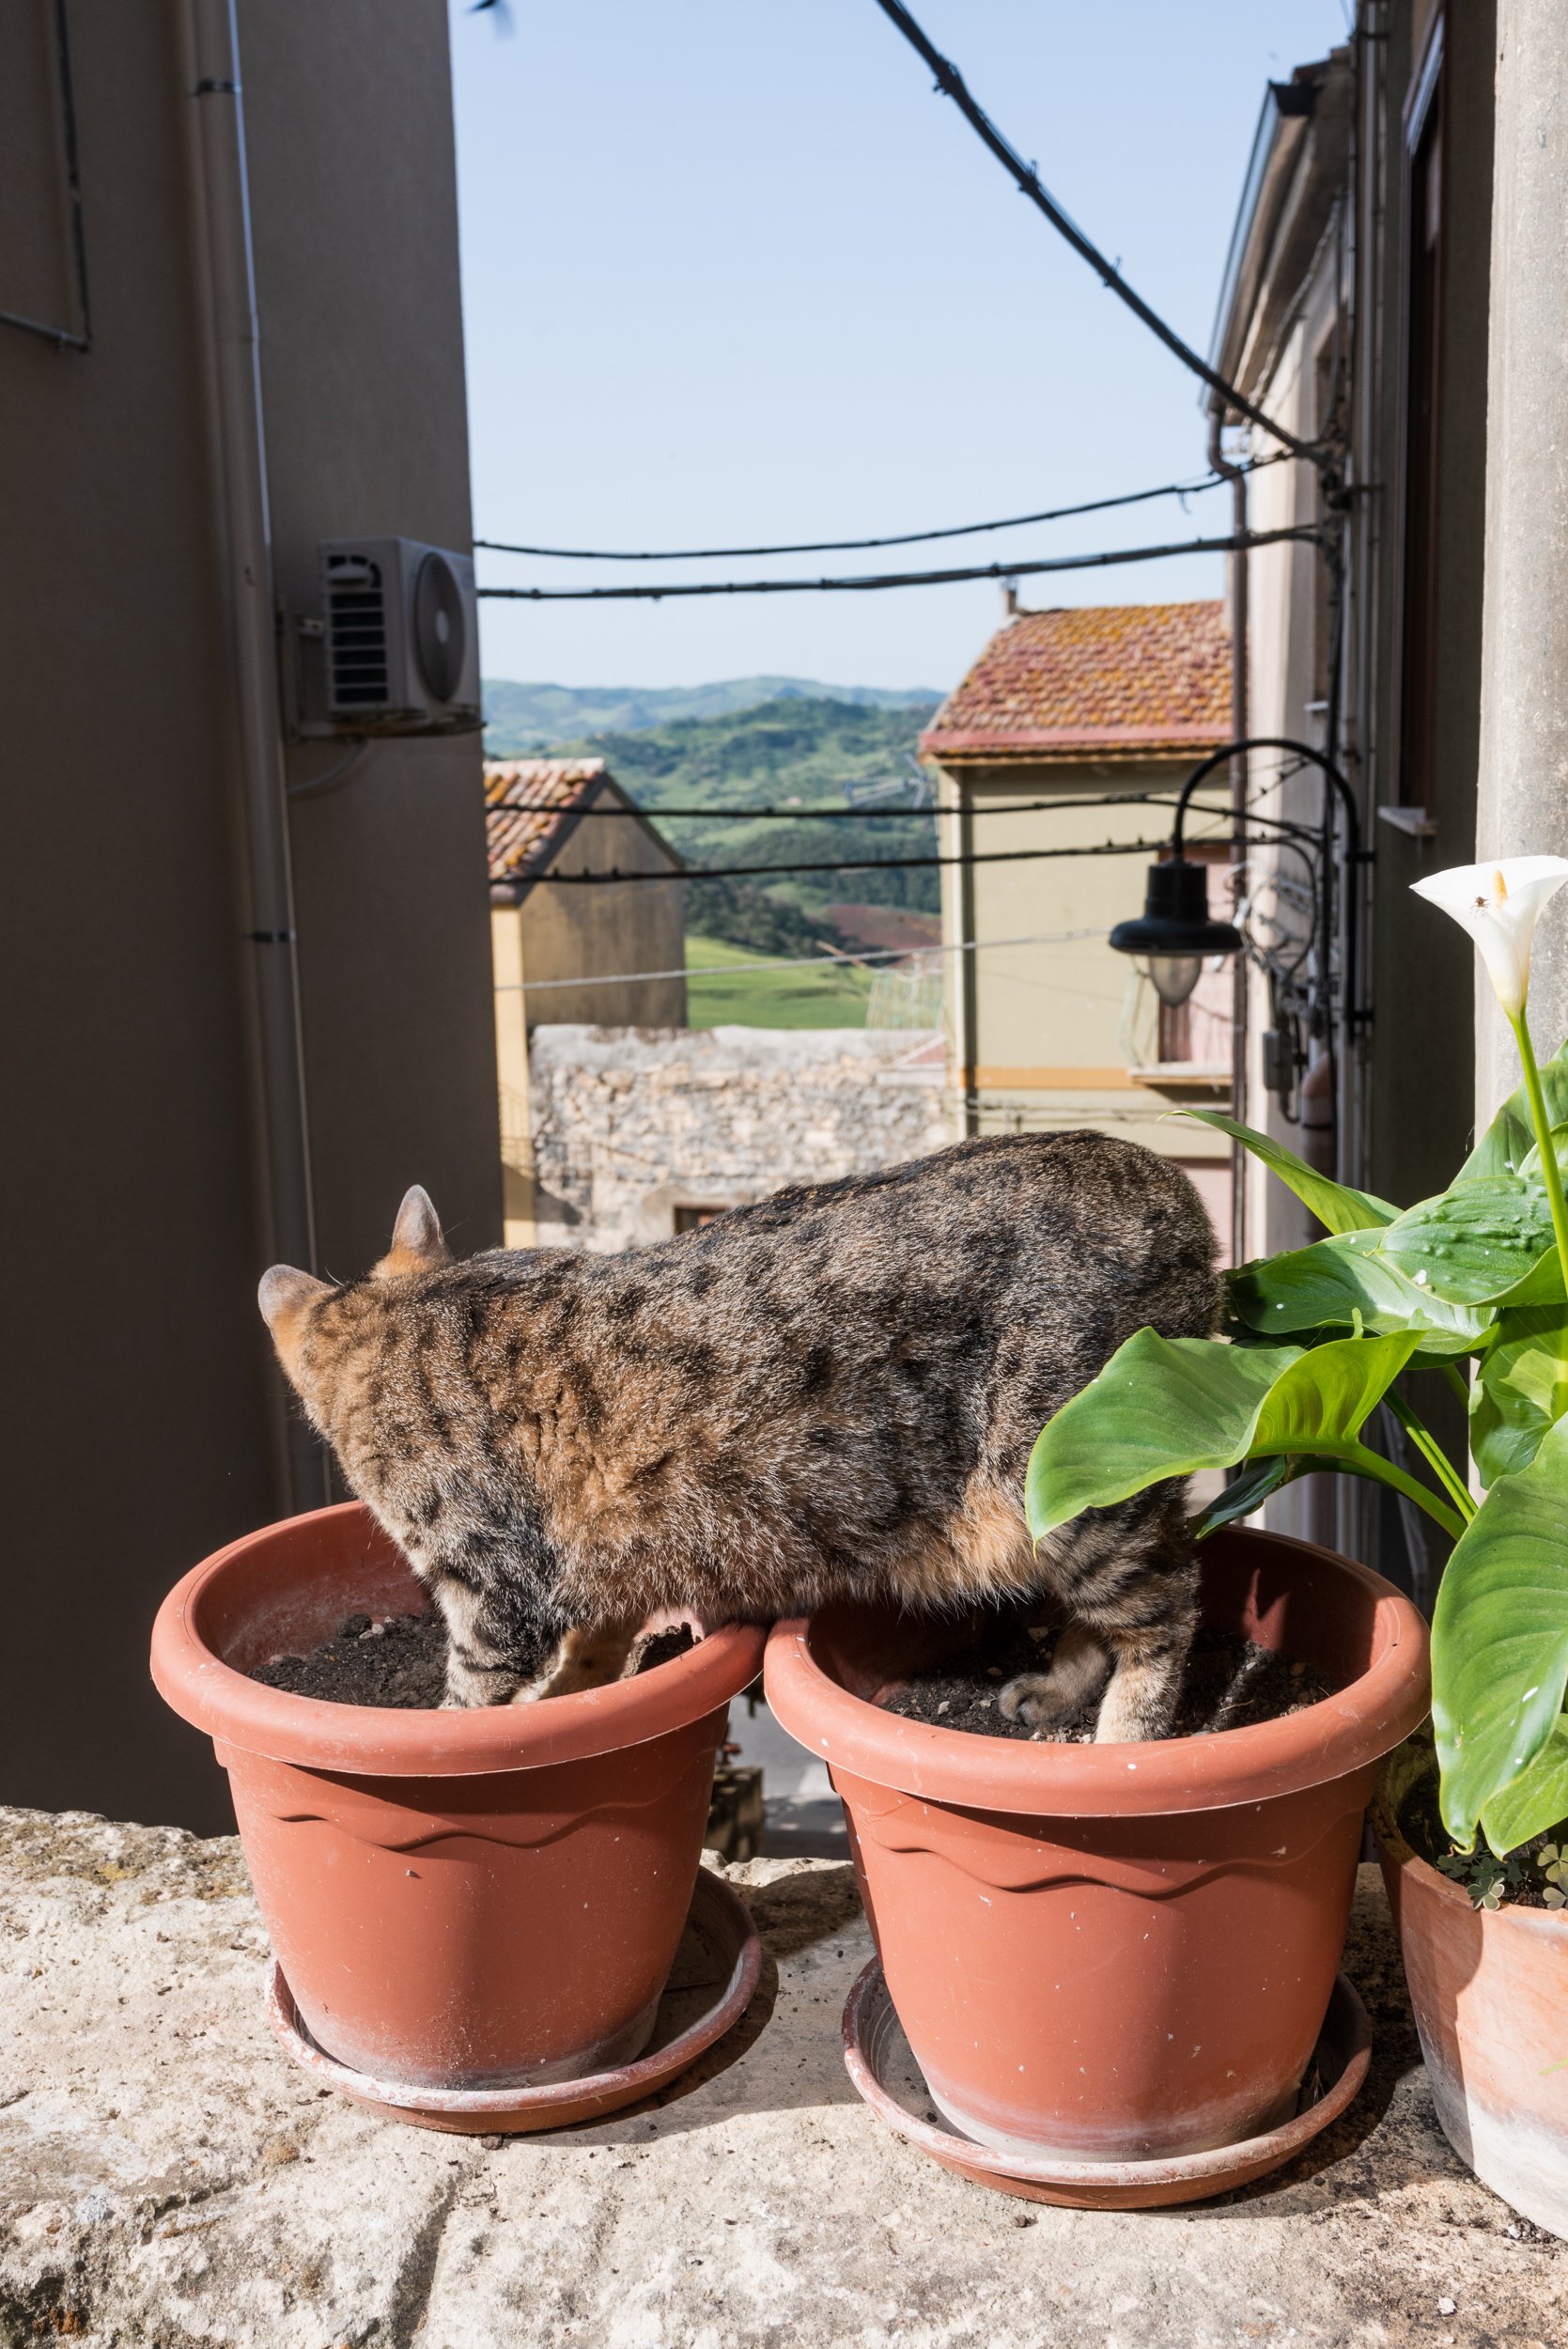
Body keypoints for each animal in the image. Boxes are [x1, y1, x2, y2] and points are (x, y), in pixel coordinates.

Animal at [256, 1137, 1220, 1748]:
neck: (406, 1321)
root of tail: (1171, 1192)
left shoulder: (493, 1589)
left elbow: (467, 1696)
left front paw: (456, 1733)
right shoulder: (592, 1564)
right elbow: (595, 1643)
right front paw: (578, 1694)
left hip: (1077, 1481)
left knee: (1169, 1614)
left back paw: (1119, 1739)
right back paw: (1053, 1690)